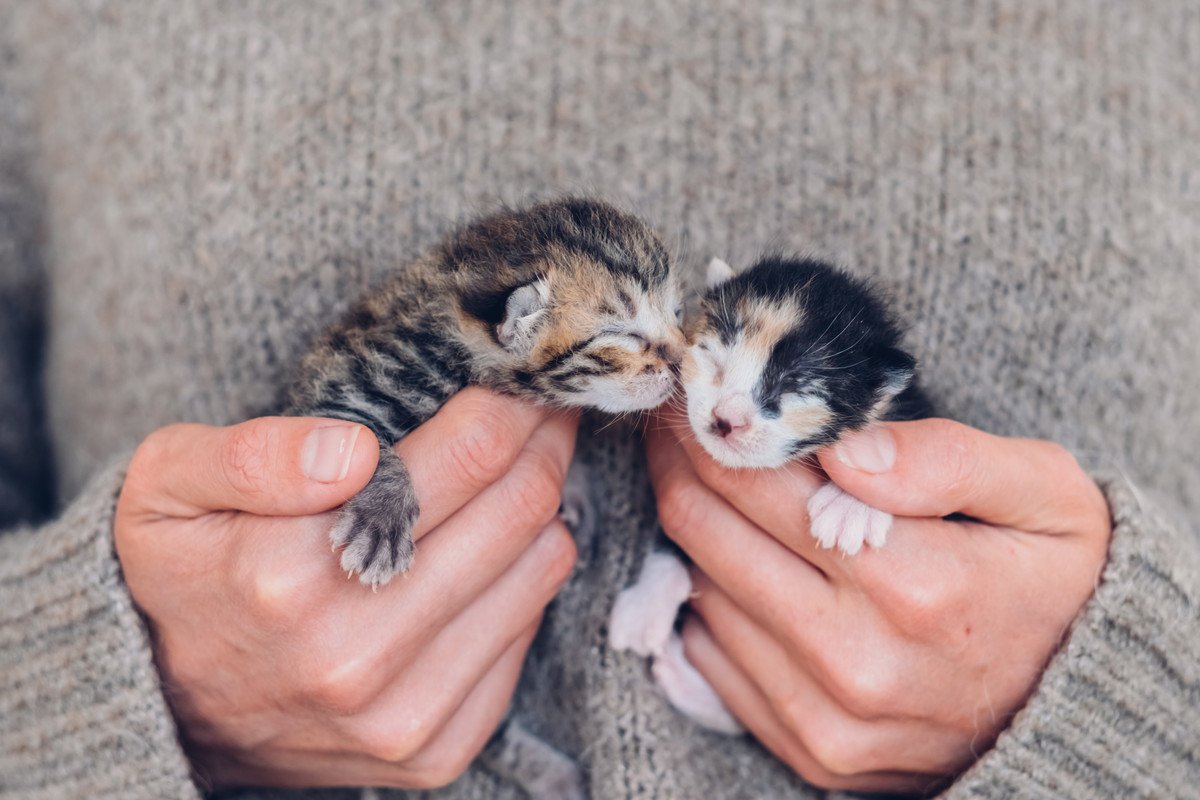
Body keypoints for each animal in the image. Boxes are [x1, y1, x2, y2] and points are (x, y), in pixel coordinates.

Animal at [286, 197, 686, 592]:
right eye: (622, 334)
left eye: (676, 314)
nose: (682, 359)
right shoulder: (355, 381)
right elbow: (361, 440)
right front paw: (381, 518)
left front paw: (579, 495)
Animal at [609, 253, 926, 734]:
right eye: (713, 357)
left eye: (795, 386)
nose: (726, 419)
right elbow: (671, 540)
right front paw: (648, 602)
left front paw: (851, 507)